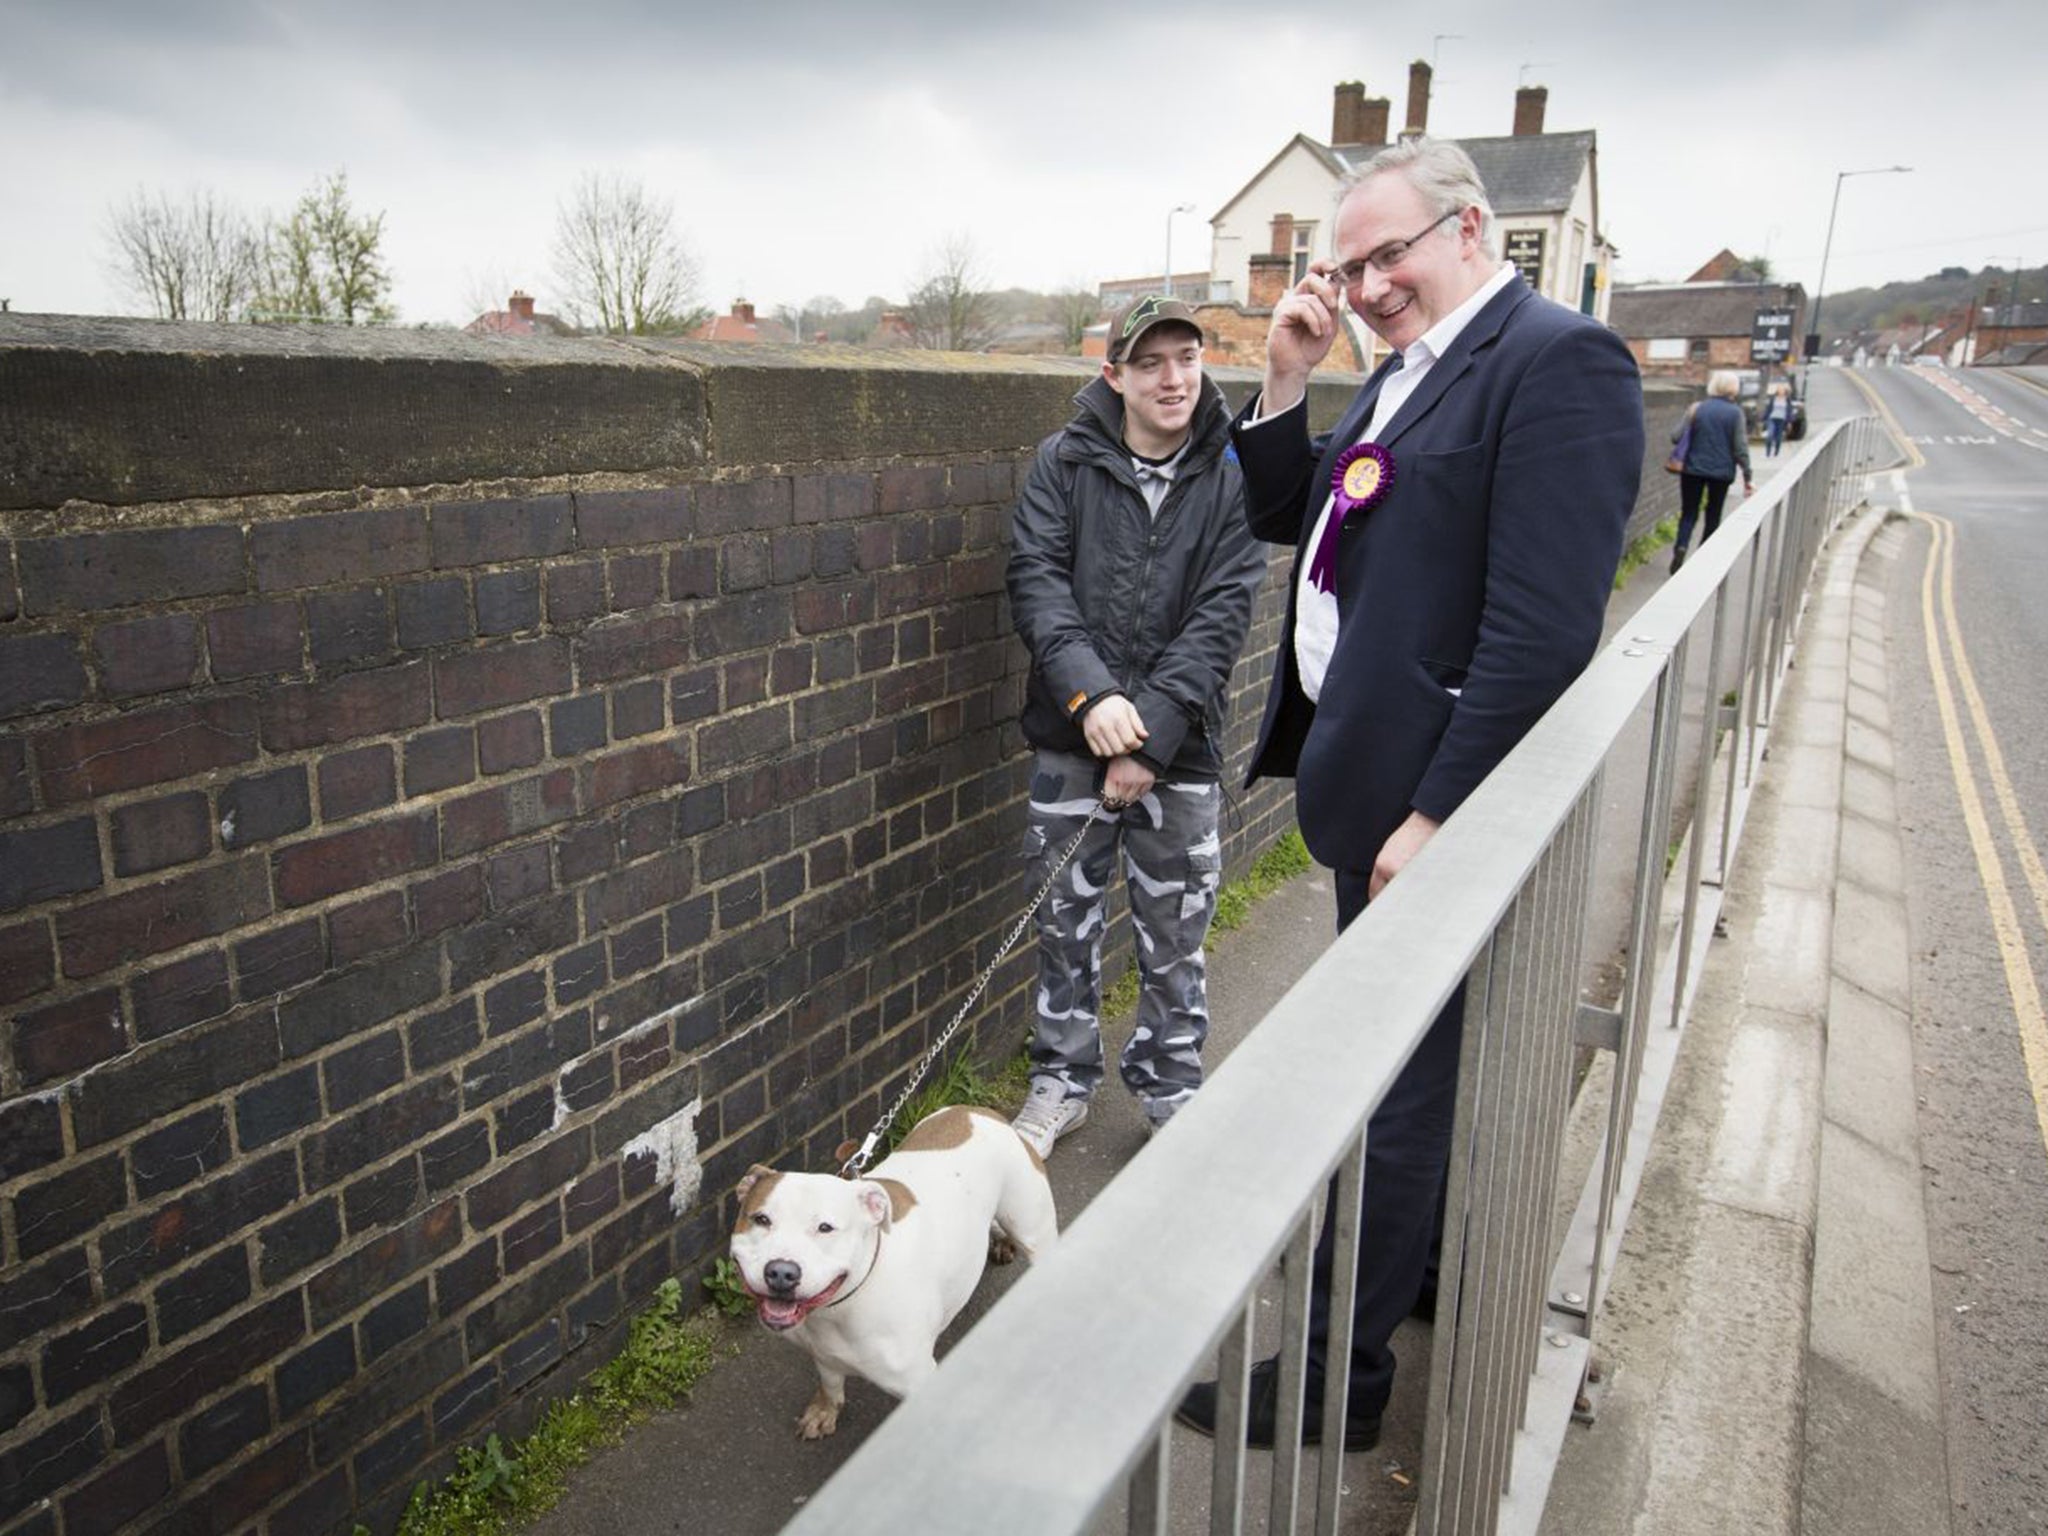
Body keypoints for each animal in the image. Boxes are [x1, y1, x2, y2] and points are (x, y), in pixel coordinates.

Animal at [733, 1105, 1056, 1441]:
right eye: (761, 1219)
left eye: (825, 1228)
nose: (781, 1272)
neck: (842, 1305)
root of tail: (979, 1111)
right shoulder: (823, 1354)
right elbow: (831, 1384)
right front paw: (824, 1411)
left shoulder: (918, 1383)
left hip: (1033, 1228)